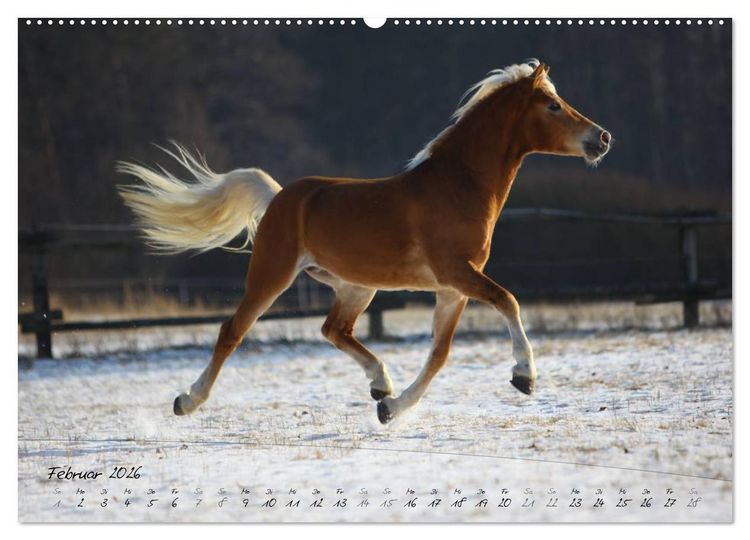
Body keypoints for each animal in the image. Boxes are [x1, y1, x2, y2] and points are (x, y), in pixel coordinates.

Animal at [118, 60, 611, 424]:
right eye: (552, 105)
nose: (602, 138)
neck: (458, 186)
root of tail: (279, 197)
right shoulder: (458, 274)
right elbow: (508, 300)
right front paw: (525, 377)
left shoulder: (453, 289)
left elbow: (439, 354)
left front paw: (391, 409)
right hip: (272, 276)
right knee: (231, 332)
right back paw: (187, 401)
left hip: (357, 286)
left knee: (333, 330)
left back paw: (381, 384)